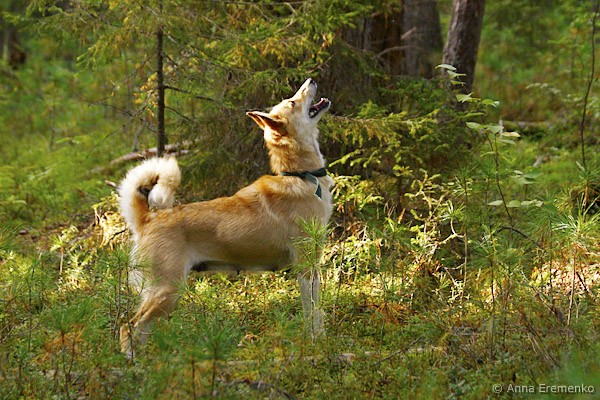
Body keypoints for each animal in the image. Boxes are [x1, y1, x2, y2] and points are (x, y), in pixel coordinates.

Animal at [117, 78, 333, 358]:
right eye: (293, 102)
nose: (311, 80)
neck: (300, 176)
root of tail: (147, 219)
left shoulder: (312, 266)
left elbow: (316, 309)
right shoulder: (306, 266)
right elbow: (312, 311)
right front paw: (316, 343)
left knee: (140, 331)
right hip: (167, 290)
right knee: (129, 327)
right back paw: (131, 364)